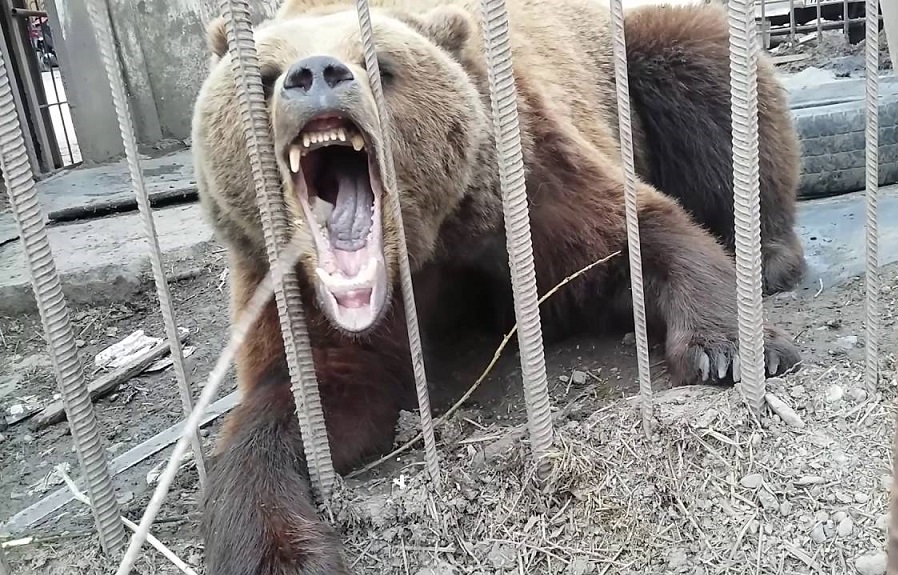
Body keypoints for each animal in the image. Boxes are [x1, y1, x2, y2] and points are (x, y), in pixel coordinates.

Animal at [191, 0, 804, 572]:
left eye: (380, 66)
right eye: (266, 74)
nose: (316, 73)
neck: (421, 250)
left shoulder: (523, 185)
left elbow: (633, 237)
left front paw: (727, 349)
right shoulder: (296, 296)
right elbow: (305, 405)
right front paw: (281, 555)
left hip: (635, 58)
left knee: (708, 73)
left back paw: (770, 254)